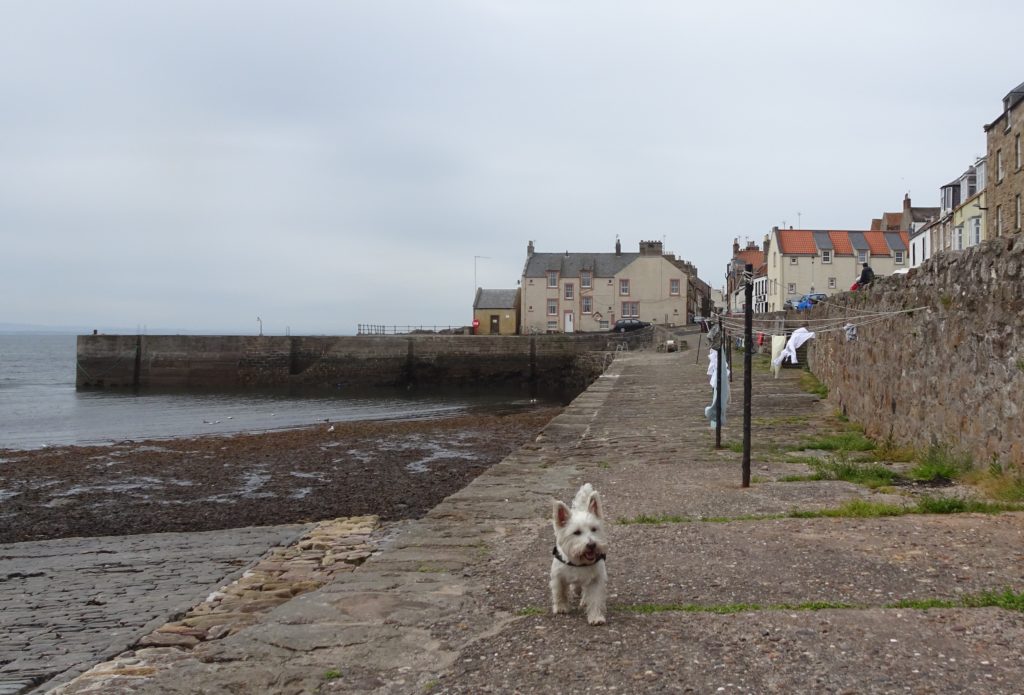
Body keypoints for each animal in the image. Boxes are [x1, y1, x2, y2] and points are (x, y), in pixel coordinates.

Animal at [552, 483, 606, 626]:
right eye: (576, 532)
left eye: (594, 529)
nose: (592, 545)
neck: (579, 562)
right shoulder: (557, 575)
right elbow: (559, 592)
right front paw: (561, 608)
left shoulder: (596, 579)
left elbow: (595, 599)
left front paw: (596, 617)